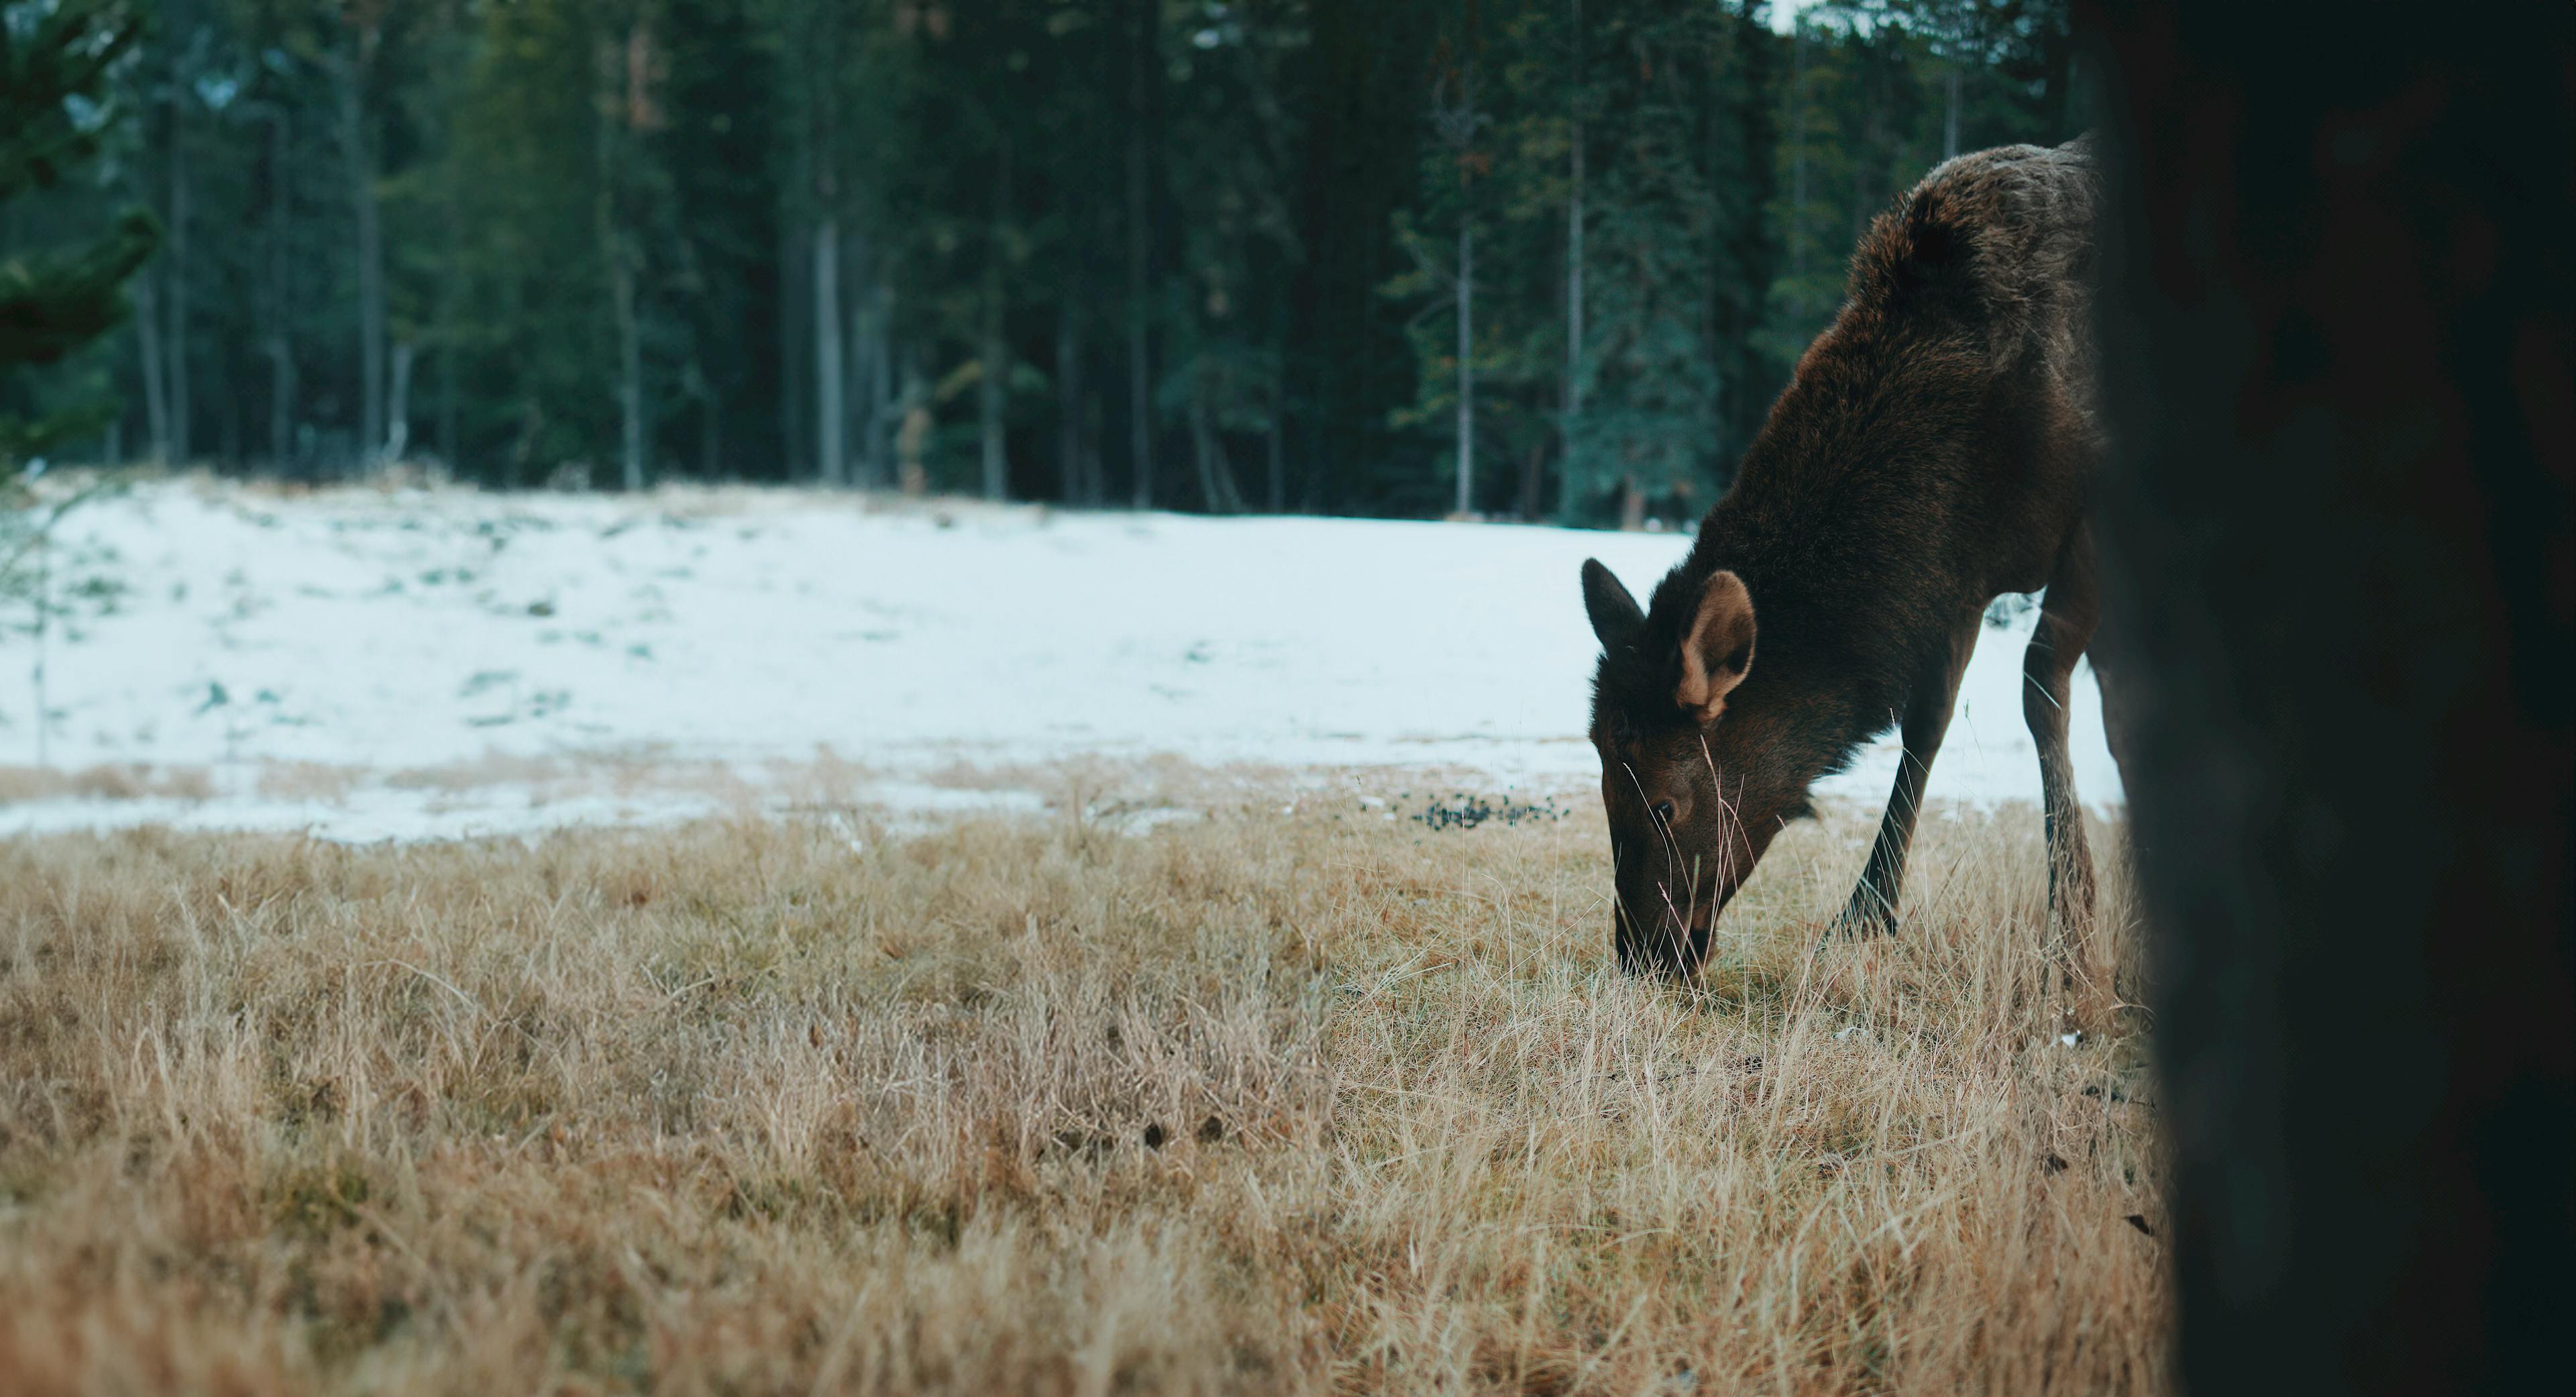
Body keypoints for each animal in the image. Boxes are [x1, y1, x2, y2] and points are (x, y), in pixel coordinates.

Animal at [1576, 136, 2123, 994]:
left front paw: (2072, 931)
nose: (1643, 955)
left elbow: (2044, 686)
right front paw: (1867, 915)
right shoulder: (1959, 575)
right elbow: (1927, 721)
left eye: (1665, 803)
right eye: (1602, 781)